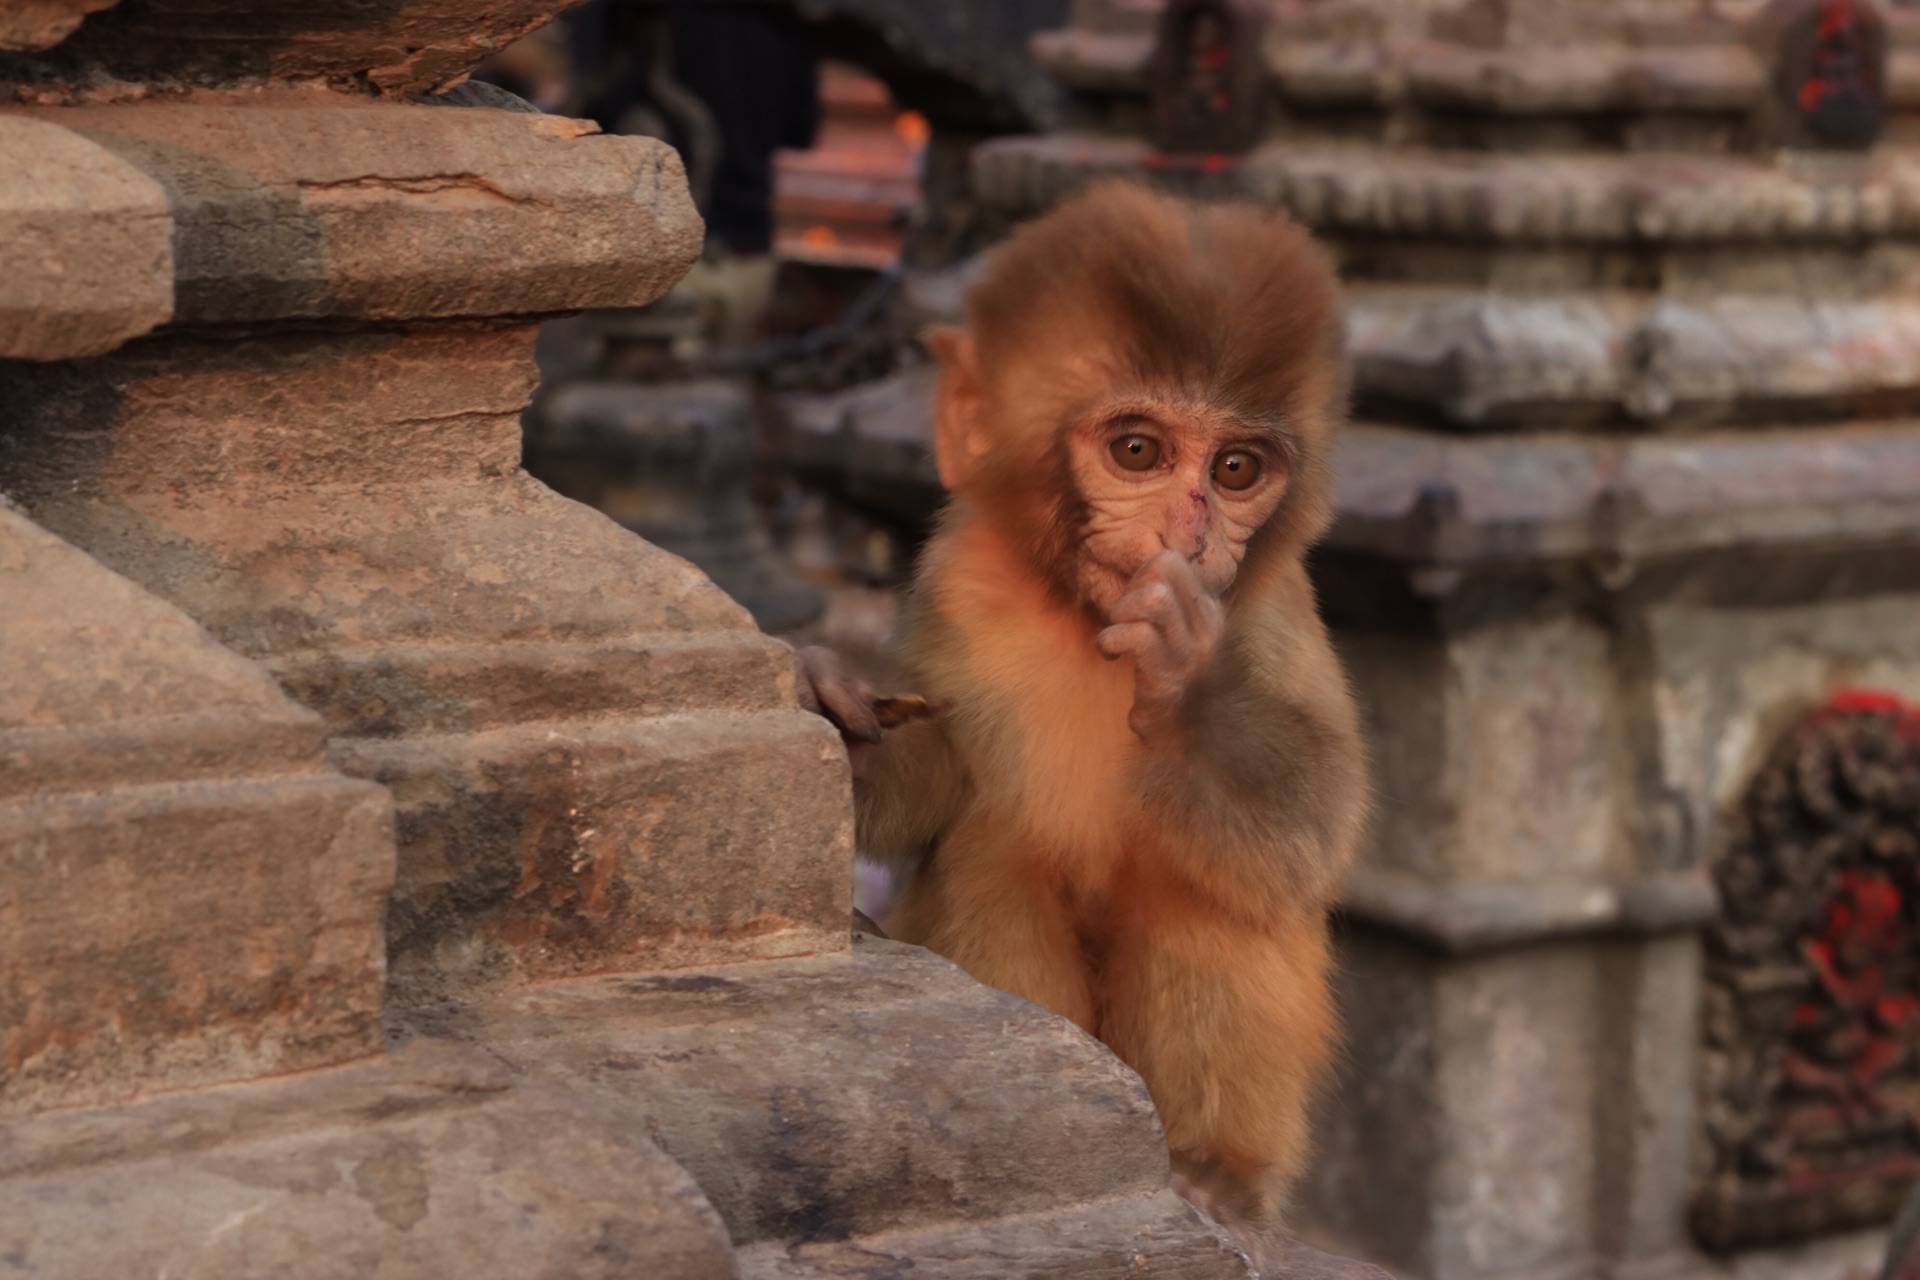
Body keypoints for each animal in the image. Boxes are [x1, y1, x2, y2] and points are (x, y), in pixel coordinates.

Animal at [794, 180, 1367, 1251]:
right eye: (1138, 451)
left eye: (1236, 470)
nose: (1189, 531)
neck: (1084, 617)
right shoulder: (955, 578)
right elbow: (938, 786)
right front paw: (836, 705)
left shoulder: (1271, 610)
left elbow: (1313, 833)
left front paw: (1186, 684)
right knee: (997, 854)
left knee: (1210, 887)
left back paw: (1208, 1176)